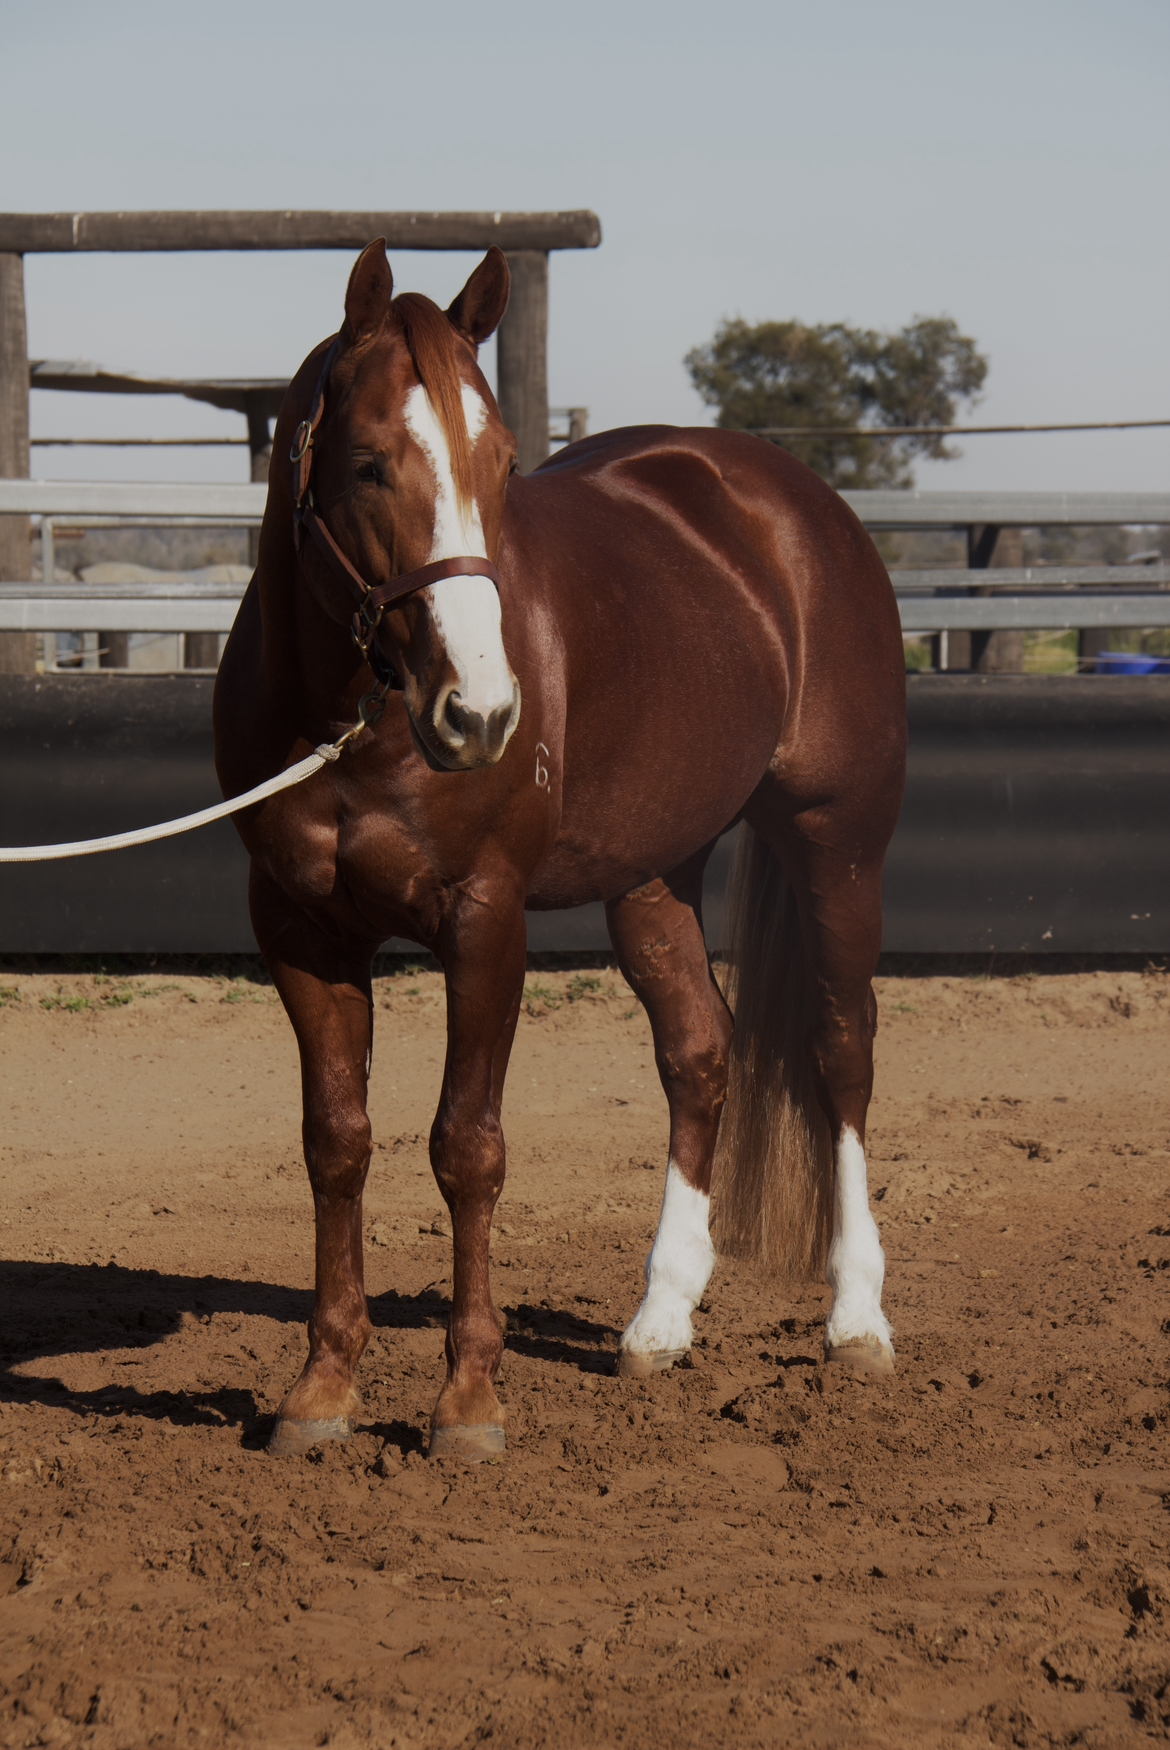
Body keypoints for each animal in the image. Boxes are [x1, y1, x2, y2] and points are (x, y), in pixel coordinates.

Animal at [213, 240, 907, 1461]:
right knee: (700, 1051)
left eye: (499, 461)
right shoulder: (299, 927)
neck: (356, 715)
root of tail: (789, 501)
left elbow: (466, 1146)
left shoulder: (484, 920)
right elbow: (336, 1141)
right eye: (367, 464)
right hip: (654, 875)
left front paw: (468, 1402)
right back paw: (660, 1317)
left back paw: (856, 1319)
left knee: (840, 1052)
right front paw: (323, 1390)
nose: (482, 714)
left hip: (837, 844)